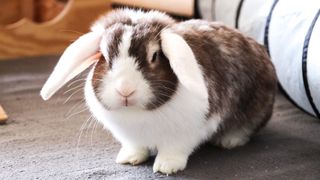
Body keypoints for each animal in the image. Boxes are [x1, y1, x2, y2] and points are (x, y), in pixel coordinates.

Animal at [40, 9, 278, 175]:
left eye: (154, 56)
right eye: (105, 57)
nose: (125, 89)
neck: (138, 114)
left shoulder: (186, 133)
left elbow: (174, 151)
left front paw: (166, 167)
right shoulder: (131, 137)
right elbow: (136, 147)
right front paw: (129, 159)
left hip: (256, 107)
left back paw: (229, 141)